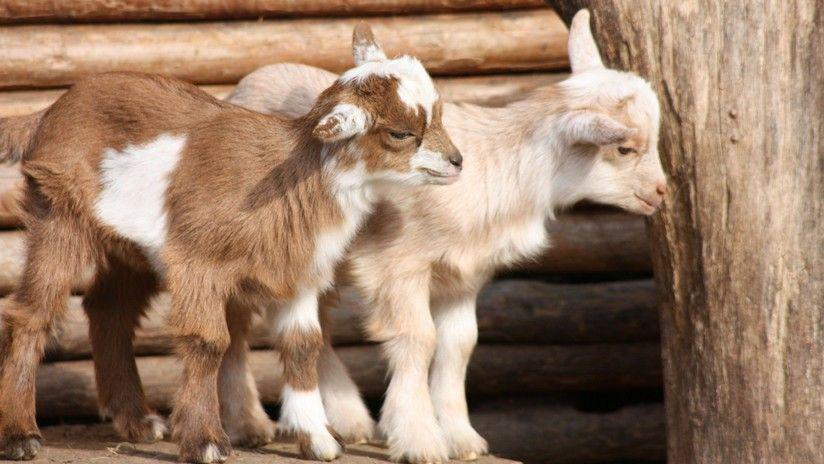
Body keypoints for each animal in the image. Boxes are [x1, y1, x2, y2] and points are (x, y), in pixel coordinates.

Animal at [0, 24, 460, 463]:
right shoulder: (198, 261)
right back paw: (20, 435)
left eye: (439, 114)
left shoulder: (298, 273)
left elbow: (303, 346)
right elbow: (208, 342)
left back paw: (139, 422)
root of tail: (48, 112)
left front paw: (319, 440)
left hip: (130, 248)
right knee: (32, 314)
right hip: (58, 212)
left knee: (109, 311)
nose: (456, 162)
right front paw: (205, 442)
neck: (294, 178)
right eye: (400, 133)